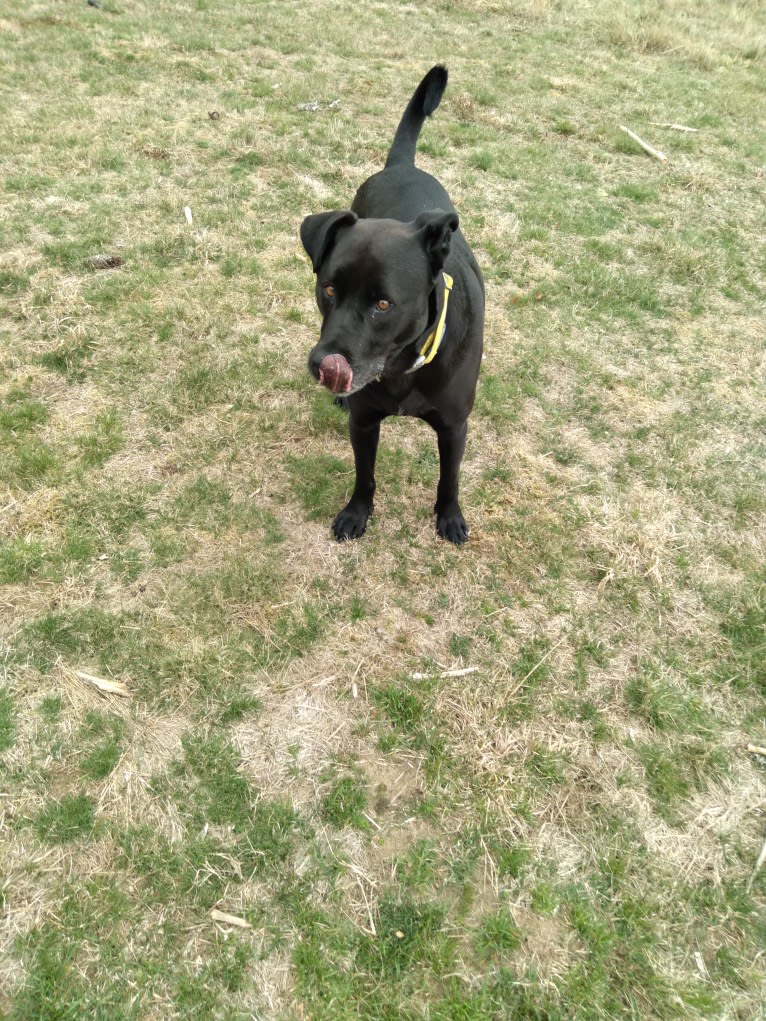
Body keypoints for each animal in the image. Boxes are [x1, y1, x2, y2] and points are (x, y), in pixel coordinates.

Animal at [302, 65, 486, 543]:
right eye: (329, 290)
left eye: (383, 305)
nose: (322, 363)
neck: (402, 365)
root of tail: (402, 165)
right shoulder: (365, 422)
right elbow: (364, 475)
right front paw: (356, 513)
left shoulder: (454, 427)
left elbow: (449, 478)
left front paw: (450, 518)